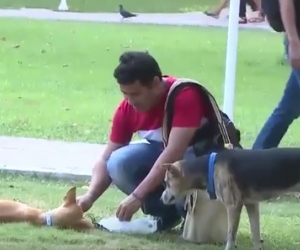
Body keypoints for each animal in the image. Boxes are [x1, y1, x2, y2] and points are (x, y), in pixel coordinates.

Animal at [161, 148, 300, 250]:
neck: (209, 167)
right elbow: (255, 233)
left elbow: (231, 236)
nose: (161, 199)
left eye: (167, 182)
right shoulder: (252, 205)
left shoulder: (233, 206)